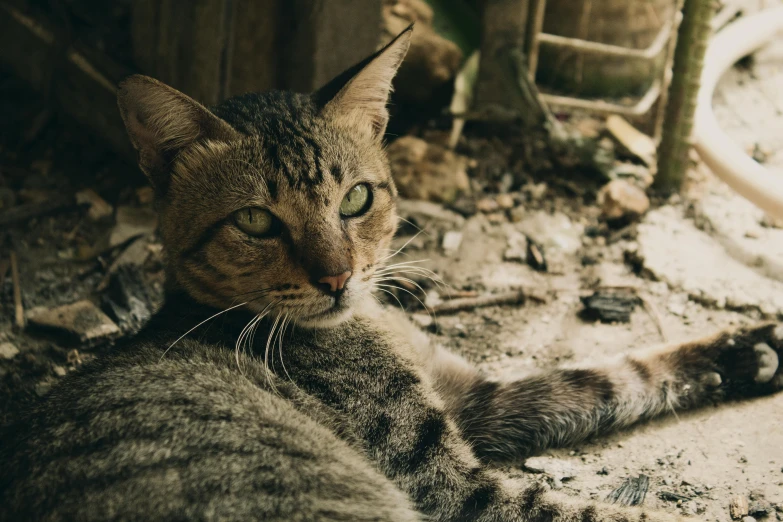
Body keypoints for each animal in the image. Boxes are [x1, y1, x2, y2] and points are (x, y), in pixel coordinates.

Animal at [1, 26, 783, 520]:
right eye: (255, 221)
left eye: (356, 198)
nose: (336, 277)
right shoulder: (448, 484)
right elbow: (584, 509)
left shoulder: (474, 397)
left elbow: (607, 376)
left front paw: (746, 350)